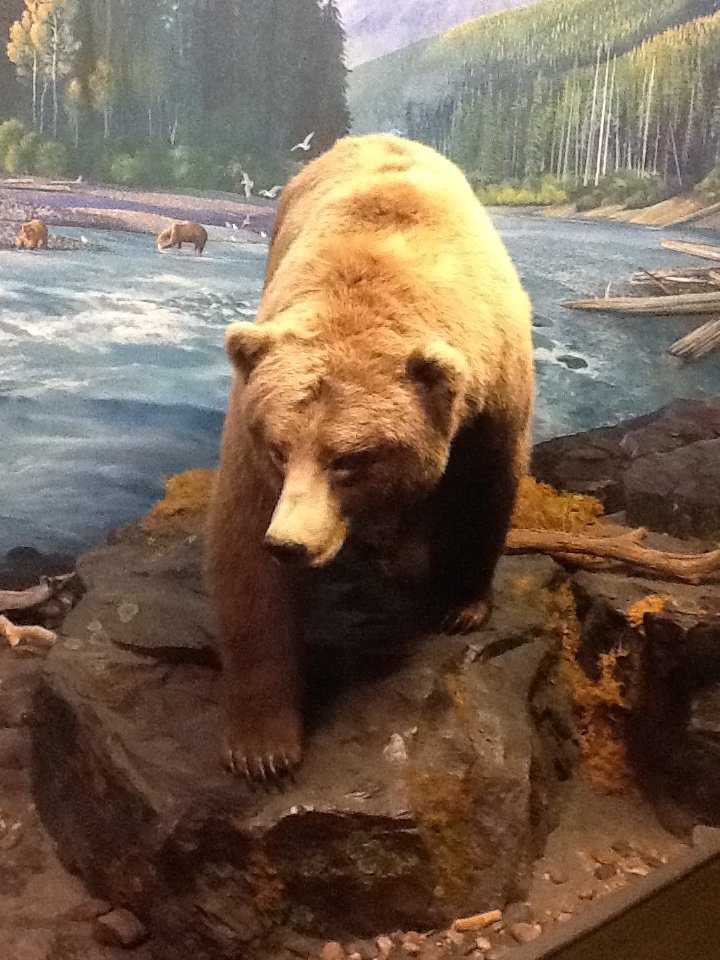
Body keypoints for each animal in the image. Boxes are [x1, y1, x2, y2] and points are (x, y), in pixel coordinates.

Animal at [206, 134, 534, 782]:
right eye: (280, 449)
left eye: (349, 460)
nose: (290, 544)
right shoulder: (253, 425)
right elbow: (244, 549)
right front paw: (262, 748)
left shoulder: (492, 389)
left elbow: (484, 487)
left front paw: (460, 604)